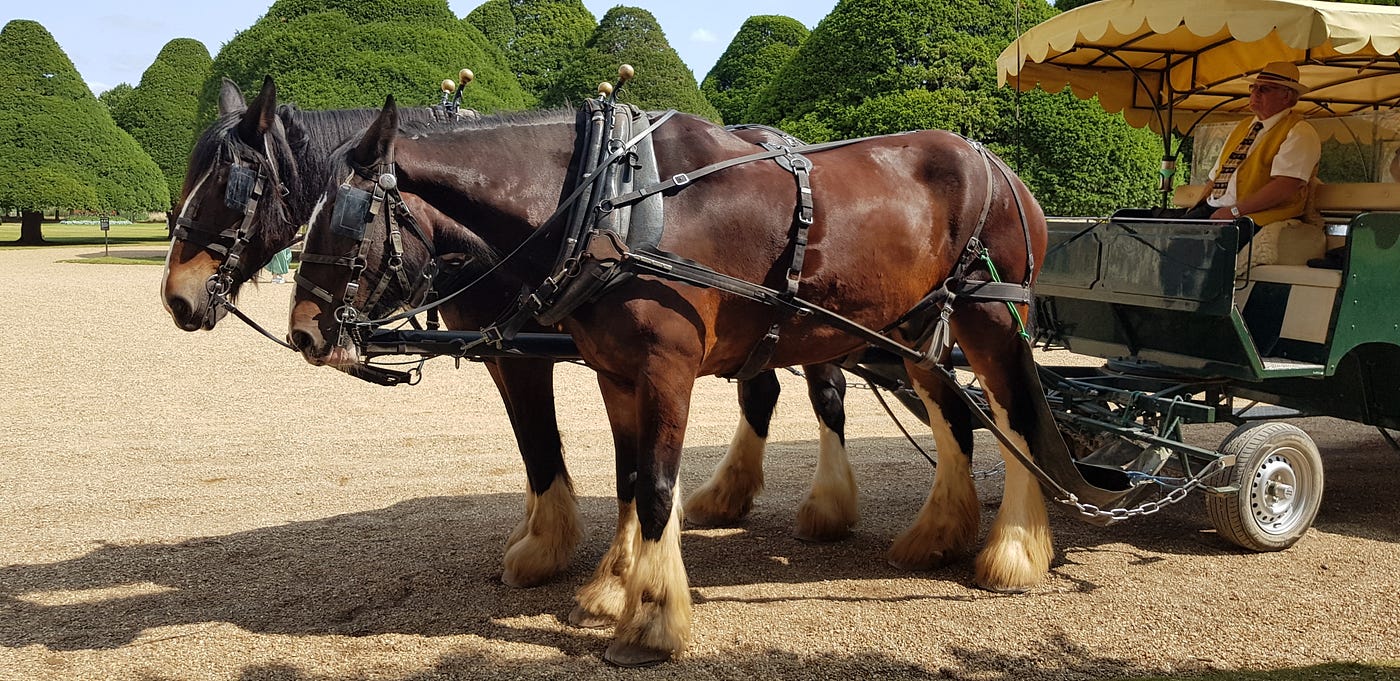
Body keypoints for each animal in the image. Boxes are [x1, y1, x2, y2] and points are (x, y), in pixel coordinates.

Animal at [160, 77, 863, 590]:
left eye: (232, 187)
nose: (176, 296)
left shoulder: (526, 356)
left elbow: (541, 440)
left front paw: (546, 546)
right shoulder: (501, 349)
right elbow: (536, 446)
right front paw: (543, 531)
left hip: (814, 323)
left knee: (826, 395)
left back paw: (827, 506)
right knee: (761, 390)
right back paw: (728, 495)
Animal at [287, 97, 1052, 666]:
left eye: (345, 219)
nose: (303, 333)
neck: (613, 204)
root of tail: (998, 165)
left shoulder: (664, 369)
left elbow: (654, 485)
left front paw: (650, 619)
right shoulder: (615, 372)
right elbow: (627, 476)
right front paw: (612, 585)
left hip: (988, 316)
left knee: (1013, 417)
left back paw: (1013, 550)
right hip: (916, 328)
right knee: (954, 418)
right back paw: (939, 531)